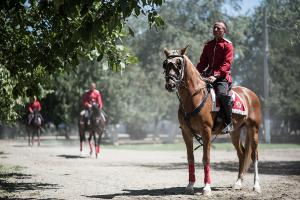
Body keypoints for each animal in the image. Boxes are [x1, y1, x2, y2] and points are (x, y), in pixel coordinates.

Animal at [163, 46, 262, 195]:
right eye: (165, 64)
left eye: (179, 64)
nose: (170, 84)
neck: (193, 97)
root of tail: (250, 94)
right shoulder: (186, 133)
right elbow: (190, 158)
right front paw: (190, 185)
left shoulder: (206, 132)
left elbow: (206, 158)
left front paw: (207, 188)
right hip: (235, 132)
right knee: (242, 154)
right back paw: (238, 183)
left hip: (253, 129)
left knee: (254, 155)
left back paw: (256, 186)